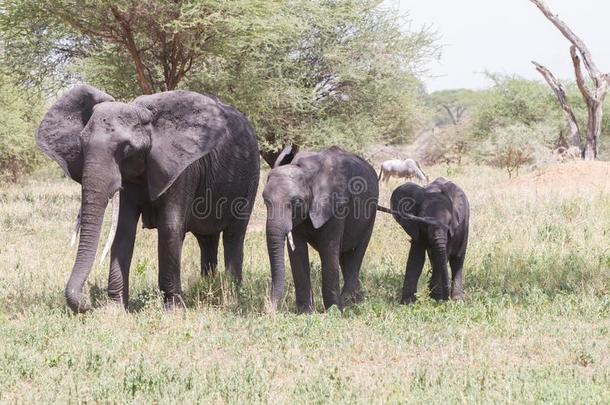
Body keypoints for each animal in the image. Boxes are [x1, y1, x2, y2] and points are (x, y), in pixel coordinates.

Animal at [35, 84, 258, 312]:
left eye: (127, 148)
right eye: (81, 144)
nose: (88, 302)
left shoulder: (182, 168)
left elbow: (170, 227)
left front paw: (172, 310)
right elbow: (123, 229)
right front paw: (116, 309)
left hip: (250, 175)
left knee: (234, 234)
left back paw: (231, 290)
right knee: (207, 239)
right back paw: (208, 285)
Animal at [260, 145, 376, 312]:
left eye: (297, 202)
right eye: (265, 201)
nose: (269, 310)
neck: (307, 172)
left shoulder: (336, 206)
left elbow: (329, 248)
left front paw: (334, 311)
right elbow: (297, 251)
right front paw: (305, 312)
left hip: (371, 215)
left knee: (356, 253)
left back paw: (347, 301)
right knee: (344, 256)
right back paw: (356, 301)